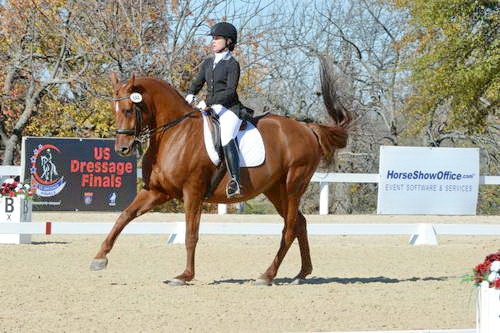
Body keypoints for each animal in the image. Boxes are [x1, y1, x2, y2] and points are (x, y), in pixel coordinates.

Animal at [91, 57, 348, 286]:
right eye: (114, 109)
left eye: (128, 110)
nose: (122, 149)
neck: (174, 134)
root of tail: (307, 128)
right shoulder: (156, 191)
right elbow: (124, 216)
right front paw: (99, 259)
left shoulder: (192, 192)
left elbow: (191, 234)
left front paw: (184, 276)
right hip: (276, 190)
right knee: (300, 224)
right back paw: (301, 273)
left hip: (294, 186)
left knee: (290, 227)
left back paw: (267, 276)